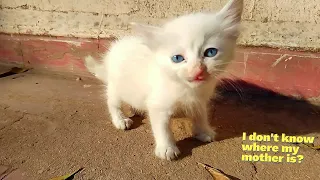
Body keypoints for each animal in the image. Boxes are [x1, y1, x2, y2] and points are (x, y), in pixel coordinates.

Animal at [85, 0, 242, 160]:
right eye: (177, 58)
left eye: (210, 52)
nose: (197, 70)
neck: (187, 88)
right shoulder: (158, 104)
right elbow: (162, 128)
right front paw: (167, 148)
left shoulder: (199, 101)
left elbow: (200, 114)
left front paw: (203, 131)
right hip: (116, 86)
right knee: (112, 102)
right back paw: (120, 119)